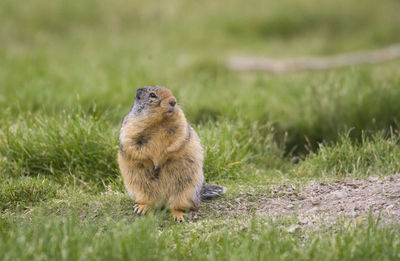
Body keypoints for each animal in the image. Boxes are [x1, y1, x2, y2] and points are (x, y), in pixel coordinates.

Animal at [118, 86, 225, 220]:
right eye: (152, 95)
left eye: (170, 91)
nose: (173, 101)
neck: (159, 121)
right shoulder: (131, 127)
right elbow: (132, 146)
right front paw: (151, 165)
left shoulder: (181, 124)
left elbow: (177, 141)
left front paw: (162, 161)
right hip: (139, 190)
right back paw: (141, 207)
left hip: (186, 192)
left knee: (177, 206)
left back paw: (178, 215)